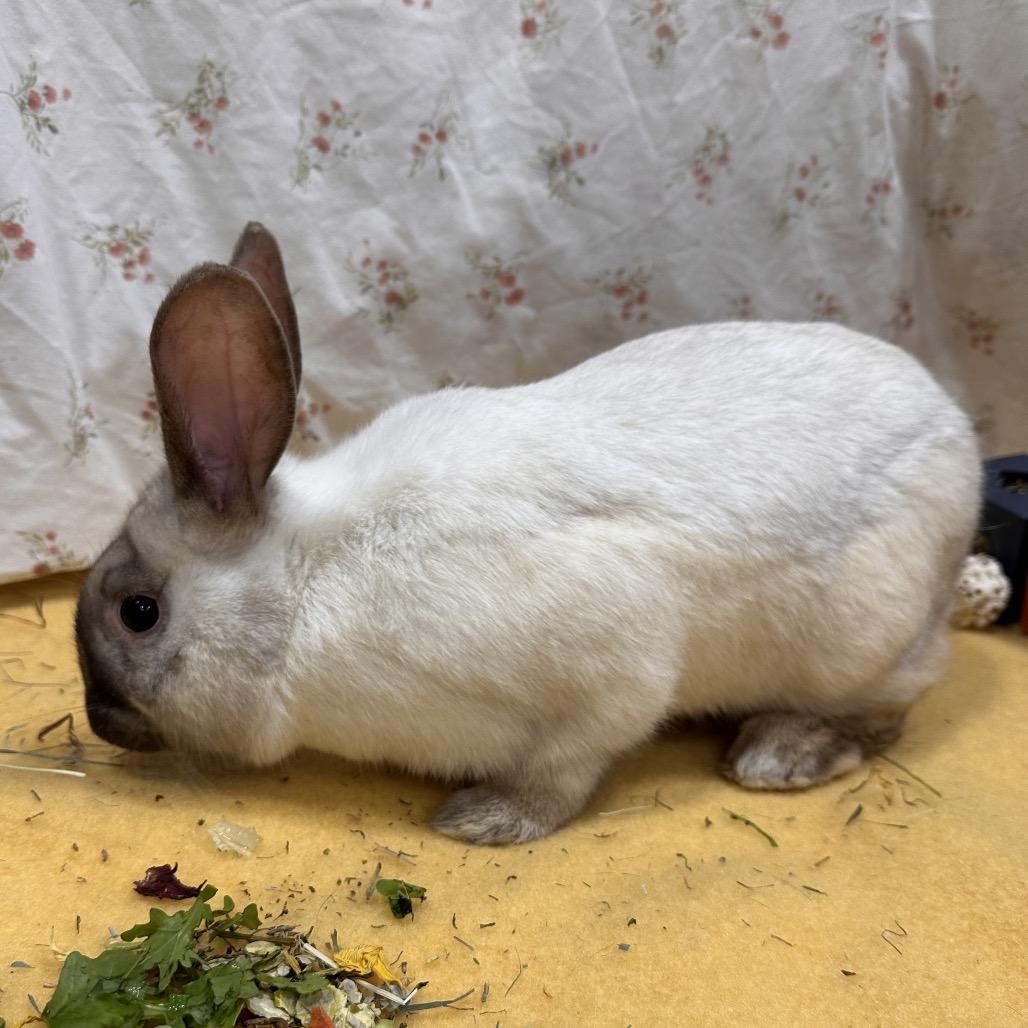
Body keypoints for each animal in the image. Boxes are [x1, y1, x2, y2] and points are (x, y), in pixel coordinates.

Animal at [76, 222, 981, 845]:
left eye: (138, 613)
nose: (99, 721)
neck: (302, 590)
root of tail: (959, 435)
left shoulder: (615, 662)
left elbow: (567, 767)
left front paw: (485, 820)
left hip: (861, 639)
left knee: (896, 702)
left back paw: (782, 751)